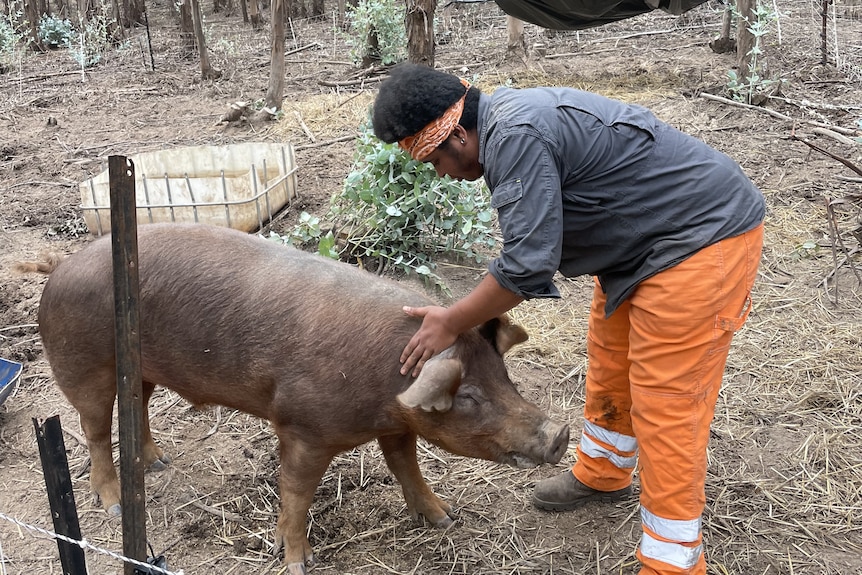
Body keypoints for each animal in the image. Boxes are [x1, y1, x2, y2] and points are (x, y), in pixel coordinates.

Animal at [30, 222, 572, 575]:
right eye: (471, 396)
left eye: (506, 378)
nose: (561, 432)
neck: (386, 389)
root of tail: (61, 266)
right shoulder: (302, 428)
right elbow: (296, 492)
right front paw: (297, 562)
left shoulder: (397, 425)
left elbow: (407, 468)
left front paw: (444, 518)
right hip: (84, 367)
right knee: (95, 431)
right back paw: (114, 505)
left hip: (140, 369)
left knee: (137, 406)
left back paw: (159, 463)